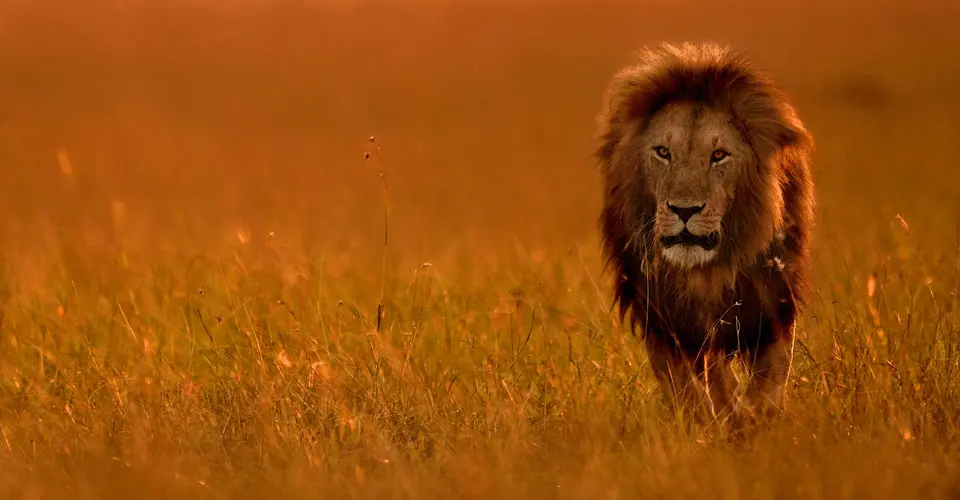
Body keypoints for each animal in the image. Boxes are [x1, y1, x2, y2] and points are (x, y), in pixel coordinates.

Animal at [594, 42, 815, 423]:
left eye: (719, 155)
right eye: (663, 152)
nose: (684, 210)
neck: (707, 273)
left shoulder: (774, 303)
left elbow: (768, 380)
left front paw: (754, 419)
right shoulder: (662, 320)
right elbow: (689, 386)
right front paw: (706, 423)